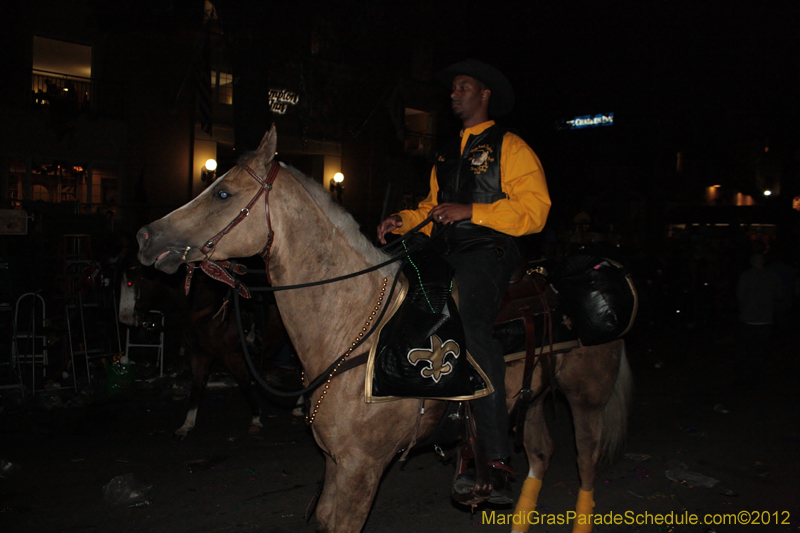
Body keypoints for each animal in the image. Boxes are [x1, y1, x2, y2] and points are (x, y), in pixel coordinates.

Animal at [118, 260, 266, 436]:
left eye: (129, 283)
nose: (123, 318)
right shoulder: (199, 355)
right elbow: (196, 388)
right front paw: (187, 425)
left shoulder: (232, 355)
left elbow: (245, 384)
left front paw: (256, 419)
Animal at [139, 125, 632, 532]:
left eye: (223, 194)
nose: (146, 237)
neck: (355, 323)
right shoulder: (337, 464)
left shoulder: (362, 469)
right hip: (531, 397)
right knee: (541, 454)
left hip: (586, 400)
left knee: (586, 465)